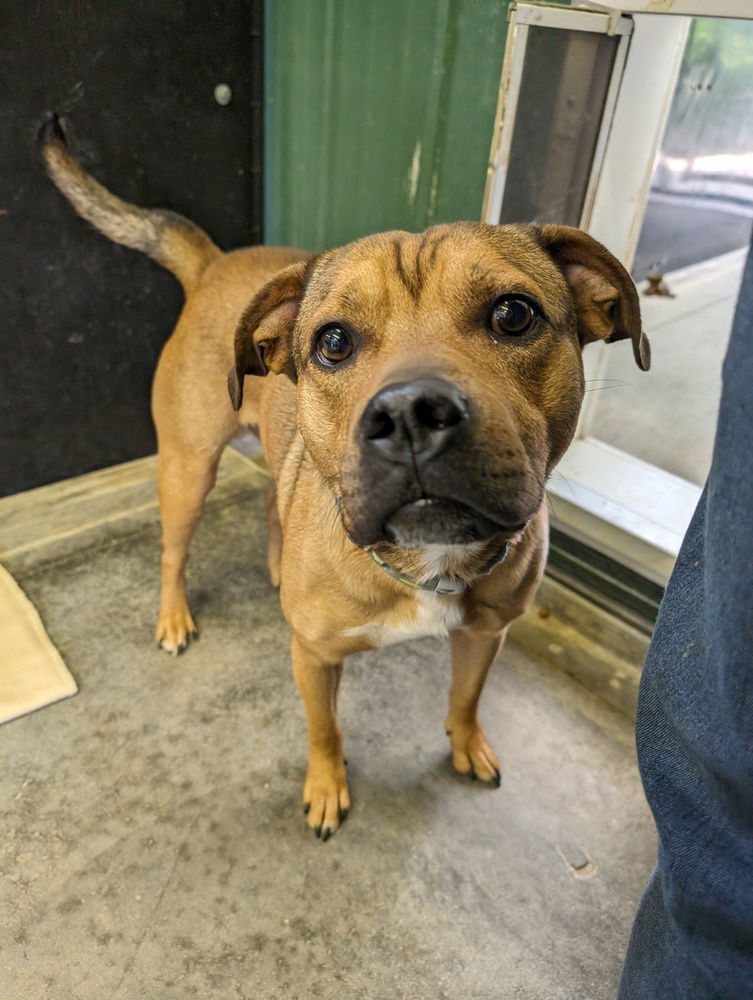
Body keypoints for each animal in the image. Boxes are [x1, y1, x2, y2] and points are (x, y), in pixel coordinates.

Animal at [41, 113, 648, 840]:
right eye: (333, 342)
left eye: (512, 314)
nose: (409, 413)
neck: (425, 564)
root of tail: (215, 263)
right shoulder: (315, 659)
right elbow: (324, 729)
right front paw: (327, 786)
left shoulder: (484, 636)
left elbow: (466, 696)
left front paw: (466, 743)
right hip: (188, 469)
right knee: (172, 551)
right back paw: (173, 616)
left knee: (273, 504)